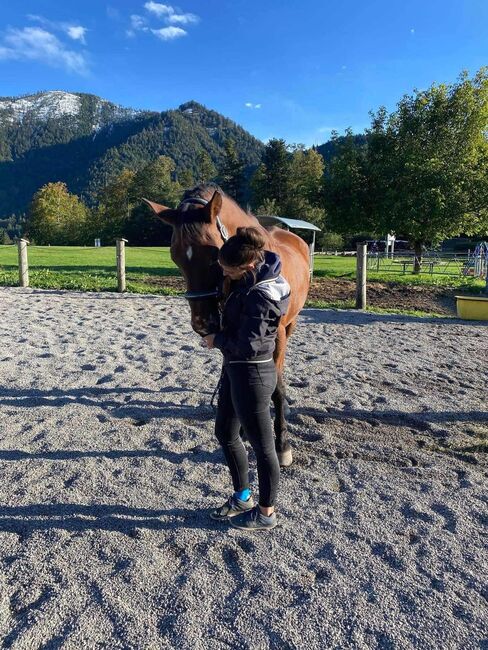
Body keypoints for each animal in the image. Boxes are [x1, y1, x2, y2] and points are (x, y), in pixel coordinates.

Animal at [144, 185, 308, 464]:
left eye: (214, 255)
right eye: (175, 257)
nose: (201, 323)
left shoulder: (275, 336)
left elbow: (276, 388)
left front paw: (282, 444)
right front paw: (241, 428)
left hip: (290, 325)